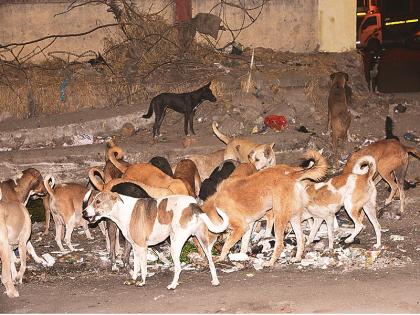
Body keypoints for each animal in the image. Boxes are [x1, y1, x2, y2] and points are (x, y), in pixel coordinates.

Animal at [83, 191, 228, 290]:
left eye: (98, 201)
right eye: (93, 200)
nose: (84, 212)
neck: (122, 209)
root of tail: (192, 204)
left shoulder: (142, 247)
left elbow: (143, 268)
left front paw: (142, 282)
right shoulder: (135, 247)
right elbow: (136, 266)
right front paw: (133, 279)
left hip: (175, 244)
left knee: (178, 267)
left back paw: (173, 285)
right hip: (203, 242)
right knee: (211, 262)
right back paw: (215, 281)